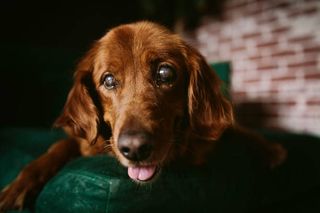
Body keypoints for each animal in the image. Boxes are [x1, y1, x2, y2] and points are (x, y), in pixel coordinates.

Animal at [0, 20, 284, 211]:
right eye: (108, 80)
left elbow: (235, 130)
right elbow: (58, 147)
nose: (134, 148)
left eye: (165, 73)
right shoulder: (86, 141)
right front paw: (17, 187)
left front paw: (268, 148)